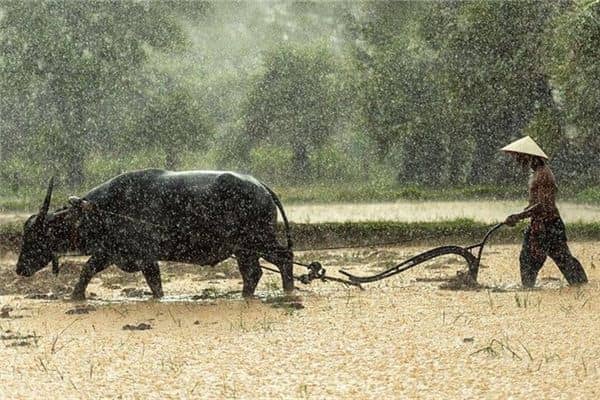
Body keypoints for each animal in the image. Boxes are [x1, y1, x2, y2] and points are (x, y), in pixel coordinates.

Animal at [15, 167, 292, 298]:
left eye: (34, 236)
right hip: (245, 249)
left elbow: (154, 284)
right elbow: (87, 271)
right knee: (253, 273)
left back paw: (288, 290)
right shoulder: (109, 253)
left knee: (284, 258)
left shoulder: (145, 256)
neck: (104, 209)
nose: (19, 268)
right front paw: (75, 297)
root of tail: (261, 186)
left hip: (259, 241)